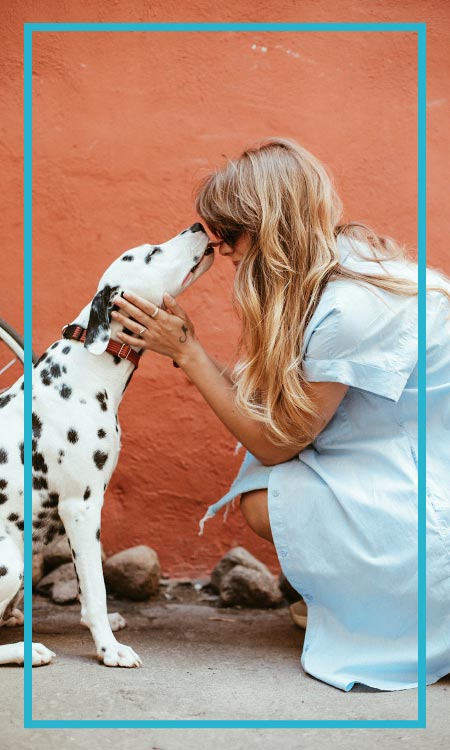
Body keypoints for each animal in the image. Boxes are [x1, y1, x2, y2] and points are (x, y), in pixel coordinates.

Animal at [0, 223, 215, 668]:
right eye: (151, 253)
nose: (198, 226)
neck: (85, 368)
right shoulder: (80, 507)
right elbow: (96, 588)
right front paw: (109, 649)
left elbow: (91, 582)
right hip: (8, 560)